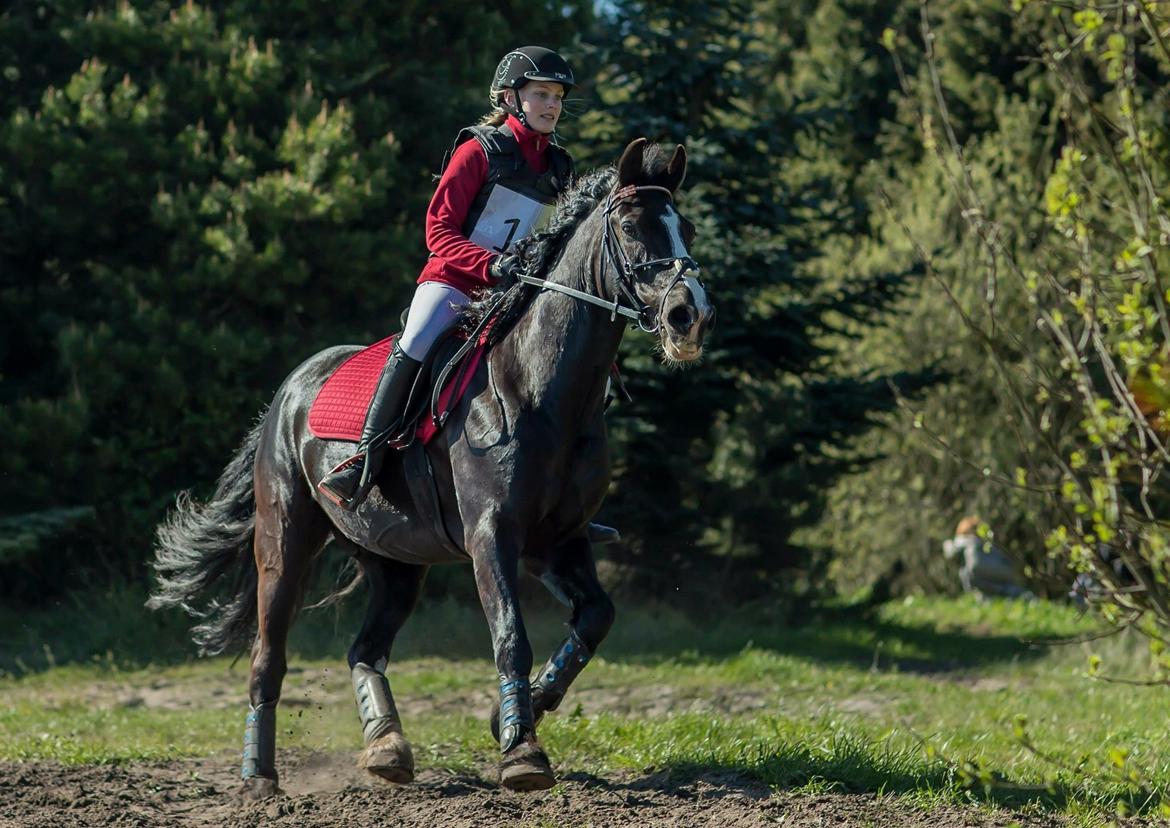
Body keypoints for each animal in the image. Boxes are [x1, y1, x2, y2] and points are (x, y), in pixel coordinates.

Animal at [146, 139, 711, 799]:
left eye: (685, 227)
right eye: (630, 227)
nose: (690, 315)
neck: (541, 389)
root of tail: (287, 392)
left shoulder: (558, 540)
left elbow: (595, 618)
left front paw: (513, 714)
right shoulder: (493, 534)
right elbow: (510, 636)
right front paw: (521, 751)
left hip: (395, 561)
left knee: (364, 650)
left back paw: (386, 748)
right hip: (284, 544)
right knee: (269, 656)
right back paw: (259, 777)